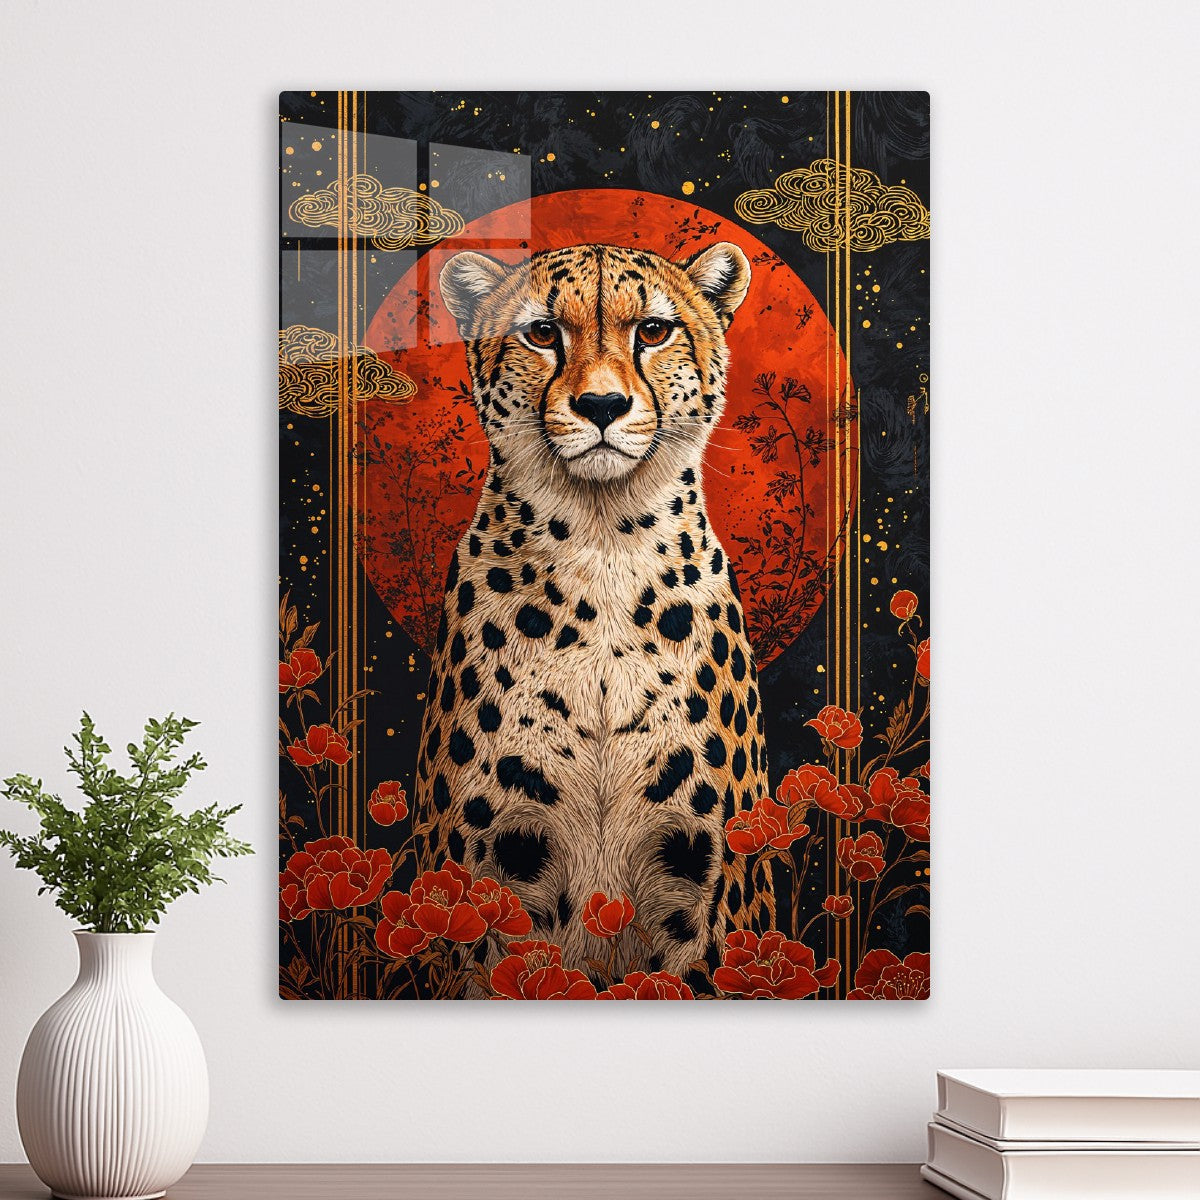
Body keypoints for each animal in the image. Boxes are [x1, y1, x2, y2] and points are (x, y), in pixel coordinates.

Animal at [412, 239, 773, 993]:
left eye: (654, 331)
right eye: (544, 332)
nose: (602, 403)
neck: (602, 542)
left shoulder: (707, 890)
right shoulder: (483, 880)